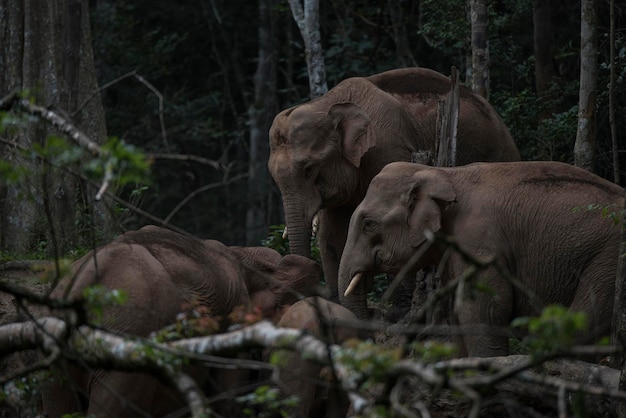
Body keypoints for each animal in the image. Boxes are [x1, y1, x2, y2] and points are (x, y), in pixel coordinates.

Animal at [338, 160, 620, 356]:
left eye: (368, 224)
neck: (445, 173)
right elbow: (455, 311)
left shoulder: (480, 243)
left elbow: (483, 310)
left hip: (609, 259)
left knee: (582, 324)